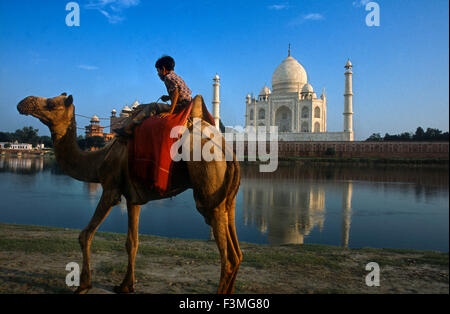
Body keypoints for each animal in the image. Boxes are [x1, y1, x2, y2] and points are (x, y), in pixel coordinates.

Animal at [16, 93, 243, 294]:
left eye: (51, 104)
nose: (24, 102)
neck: (99, 158)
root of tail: (227, 150)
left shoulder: (111, 188)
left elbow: (85, 234)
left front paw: (83, 285)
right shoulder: (134, 196)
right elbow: (132, 242)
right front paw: (126, 286)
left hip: (208, 179)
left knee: (226, 256)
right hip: (227, 196)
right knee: (237, 252)